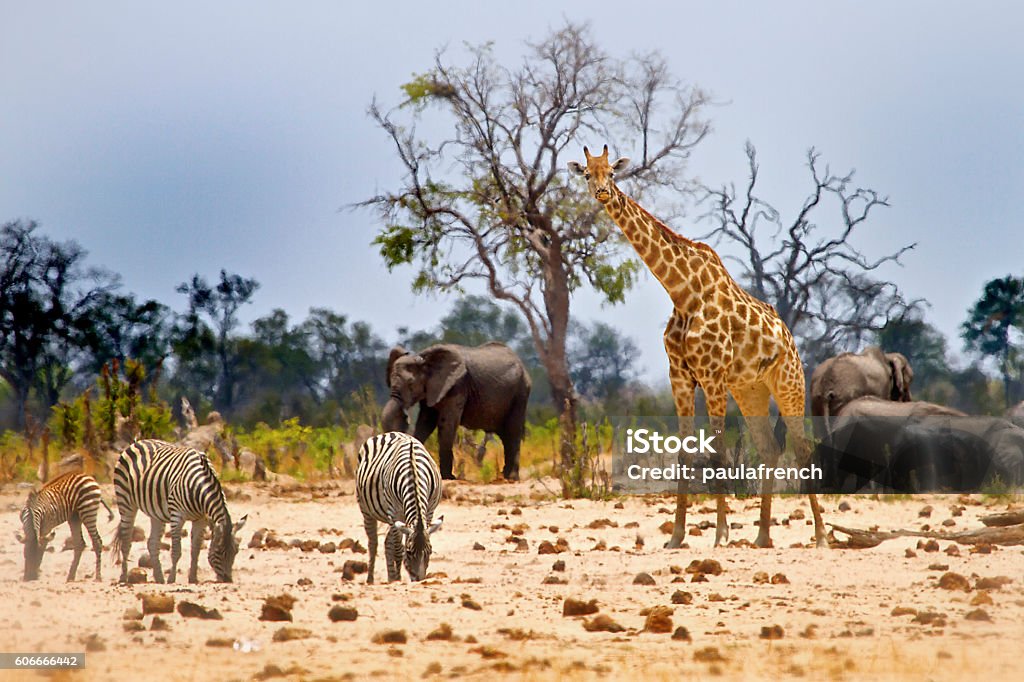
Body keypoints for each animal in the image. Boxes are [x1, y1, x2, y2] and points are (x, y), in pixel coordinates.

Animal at [112, 438, 247, 581]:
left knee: (152, 543)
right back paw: (124, 578)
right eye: (218, 552)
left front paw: (193, 579)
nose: (228, 580)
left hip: (156, 513)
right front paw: (172, 579)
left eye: (236, 551)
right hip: (125, 501)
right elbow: (177, 551)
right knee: (126, 541)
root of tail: (138, 442)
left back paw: (159, 579)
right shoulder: (177, 516)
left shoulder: (201, 519)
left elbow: (196, 550)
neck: (198, 487)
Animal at [356, 430, 444, 577]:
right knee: (373, 543)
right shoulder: (394, 512)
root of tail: (390, 433)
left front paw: (396, 576)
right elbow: (398, 549)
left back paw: (390, 577)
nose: (420, 580)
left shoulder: (429, 511)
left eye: (430, 551)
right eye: (409, 552)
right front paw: (397, 578)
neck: (414, 473)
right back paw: (371, 579)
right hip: (365, 509)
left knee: (387, 542)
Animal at [382, 339, 532, 477]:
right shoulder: (431, 389)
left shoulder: (457, 386)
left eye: (411, 384)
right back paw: (504, 476)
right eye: (390, 381)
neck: (424, 359)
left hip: (520, 393)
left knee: (512, 432)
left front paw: (448, 477)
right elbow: (425, 423)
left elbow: (447, 424)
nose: (405, 417)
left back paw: (510, 477)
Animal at [573, 144, 827, 548]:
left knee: (802, 448)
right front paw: (677, 536)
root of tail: (789, 337)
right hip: (750, 389)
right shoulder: (680, 376)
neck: (681, 291)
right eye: (586, 173)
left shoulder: (711, 376)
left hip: (789, 382)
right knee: (770, 448)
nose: (601, 193)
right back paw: (762, 536)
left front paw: (721, 534)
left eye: (612, 172)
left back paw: (819, 535)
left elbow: (719, 453)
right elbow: (684, 454)